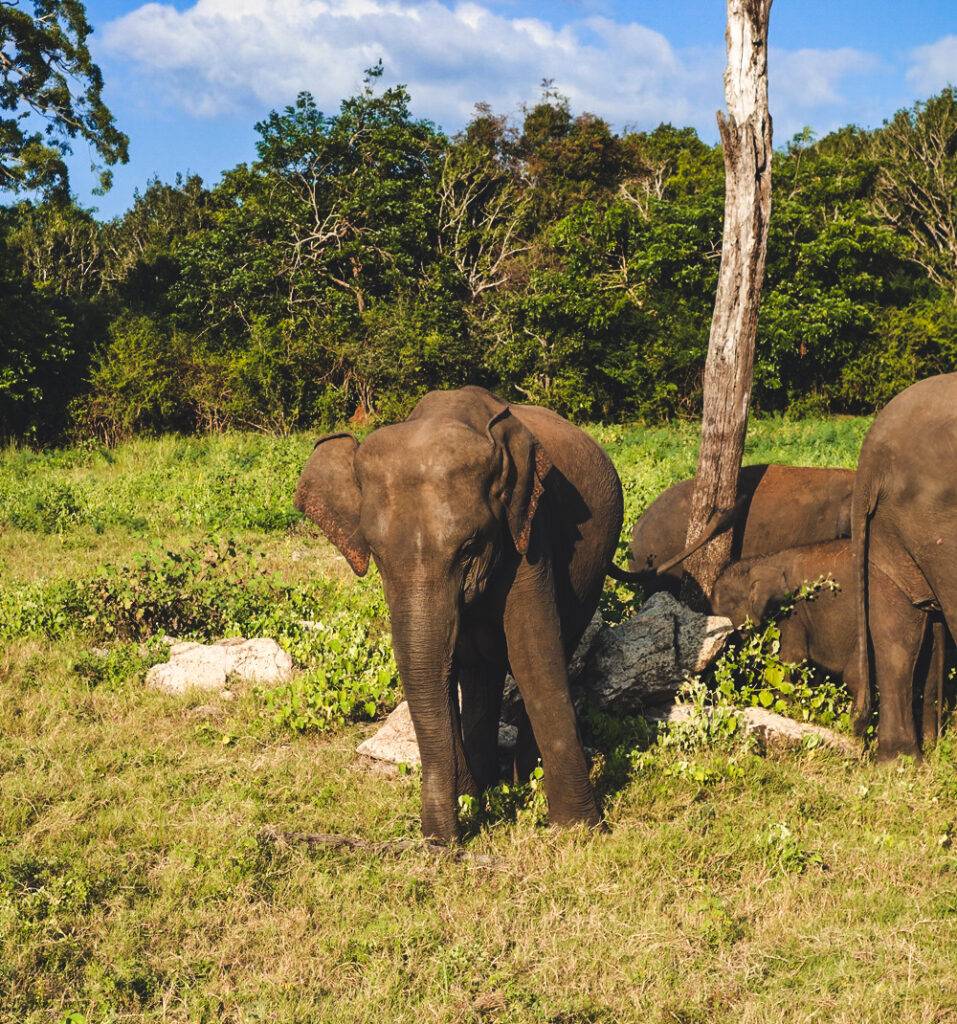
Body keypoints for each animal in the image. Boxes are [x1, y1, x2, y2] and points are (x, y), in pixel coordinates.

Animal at [294, 386, 624, 842]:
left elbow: (532, 653)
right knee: (479, 669)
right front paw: (474, 803)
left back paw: (521, 779)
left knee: (561, 639)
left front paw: (578, 832)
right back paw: (489, 785)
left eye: (469, 548)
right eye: (376, 554)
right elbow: (446, 664)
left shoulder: (528, 530)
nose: (440, 845)